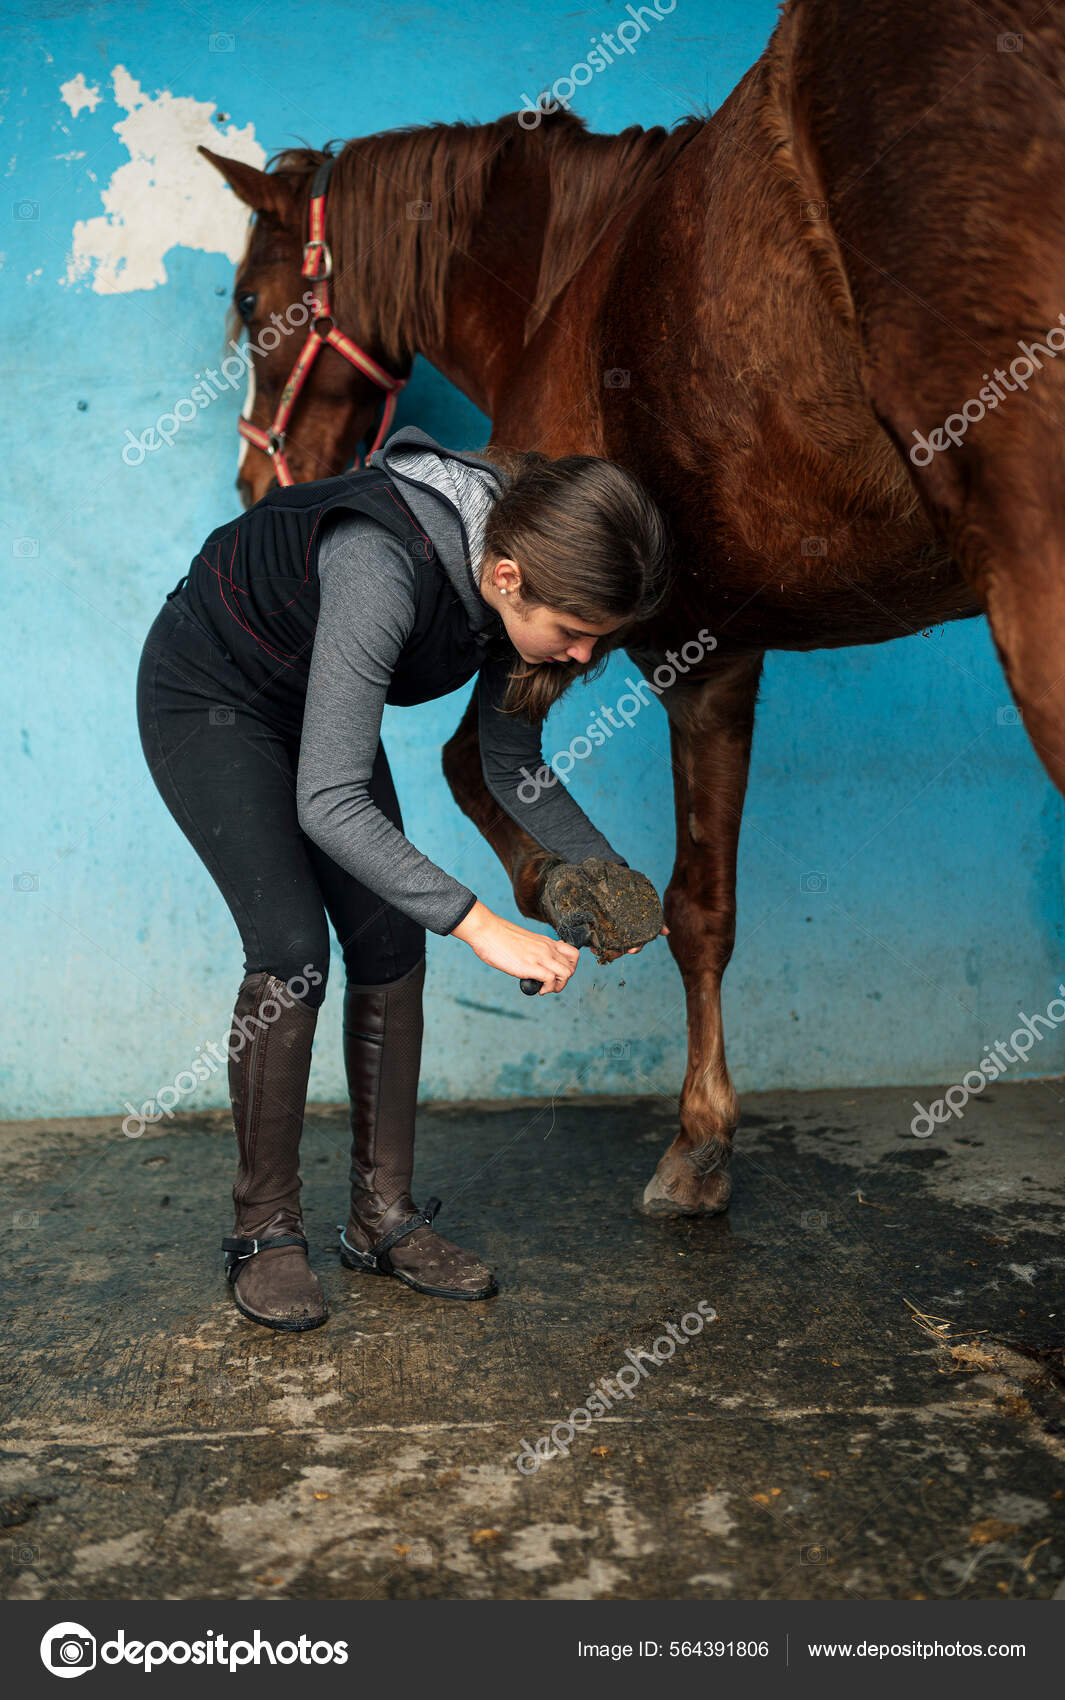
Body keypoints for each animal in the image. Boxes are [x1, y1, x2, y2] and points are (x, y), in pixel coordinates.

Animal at [200, 3, 1065, 1224]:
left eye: (246, 302)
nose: (251, 484)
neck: (571, 272)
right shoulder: (721, 652)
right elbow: (707, 906)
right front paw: (703, 1139)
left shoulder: (601, 637)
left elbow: (478, 769)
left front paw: (573, 897)